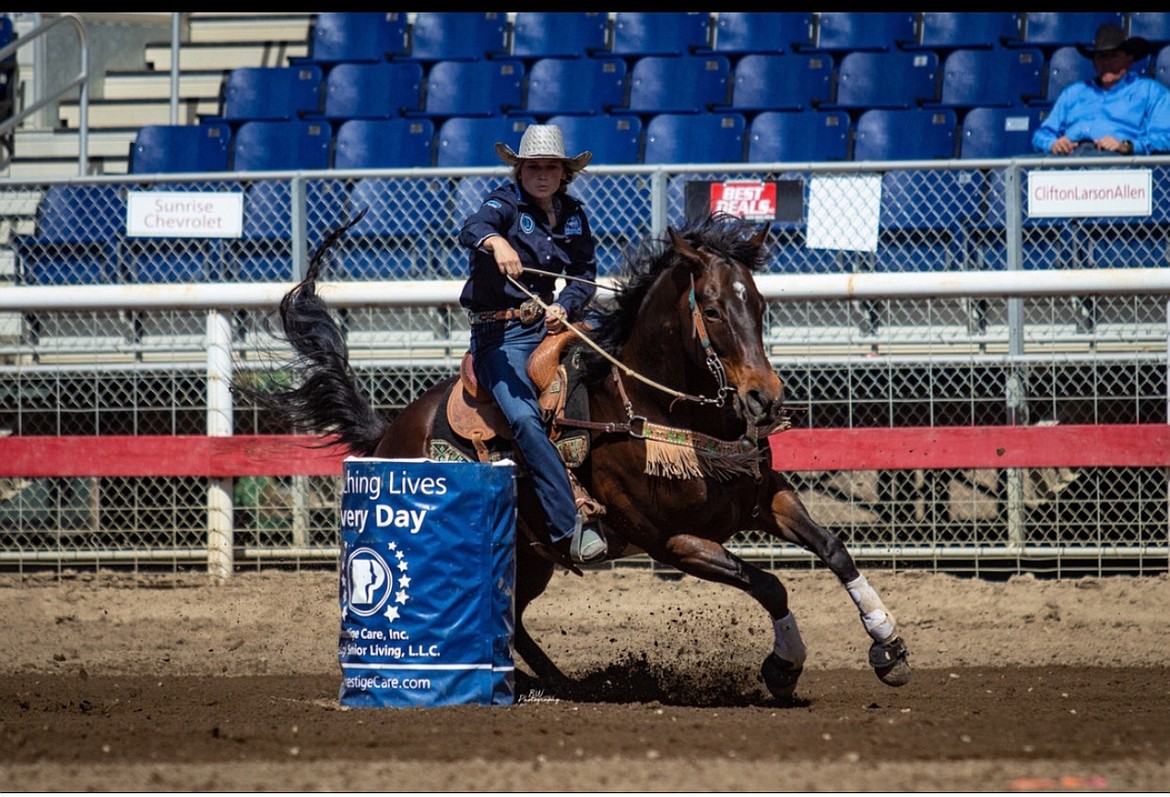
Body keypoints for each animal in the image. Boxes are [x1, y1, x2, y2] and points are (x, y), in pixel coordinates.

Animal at [251, 209, 912, 697]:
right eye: (713, 309)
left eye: (761, 304)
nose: (764, 399)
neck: (660, 409)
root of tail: (390, 432)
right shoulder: (674, 542)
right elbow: (770, 585)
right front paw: (784, 666)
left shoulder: (764, 500)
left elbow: (834, 549)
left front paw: (888, 645)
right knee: (503, 617)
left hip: (531, 557)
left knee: (513, 618)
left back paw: (557, 681)